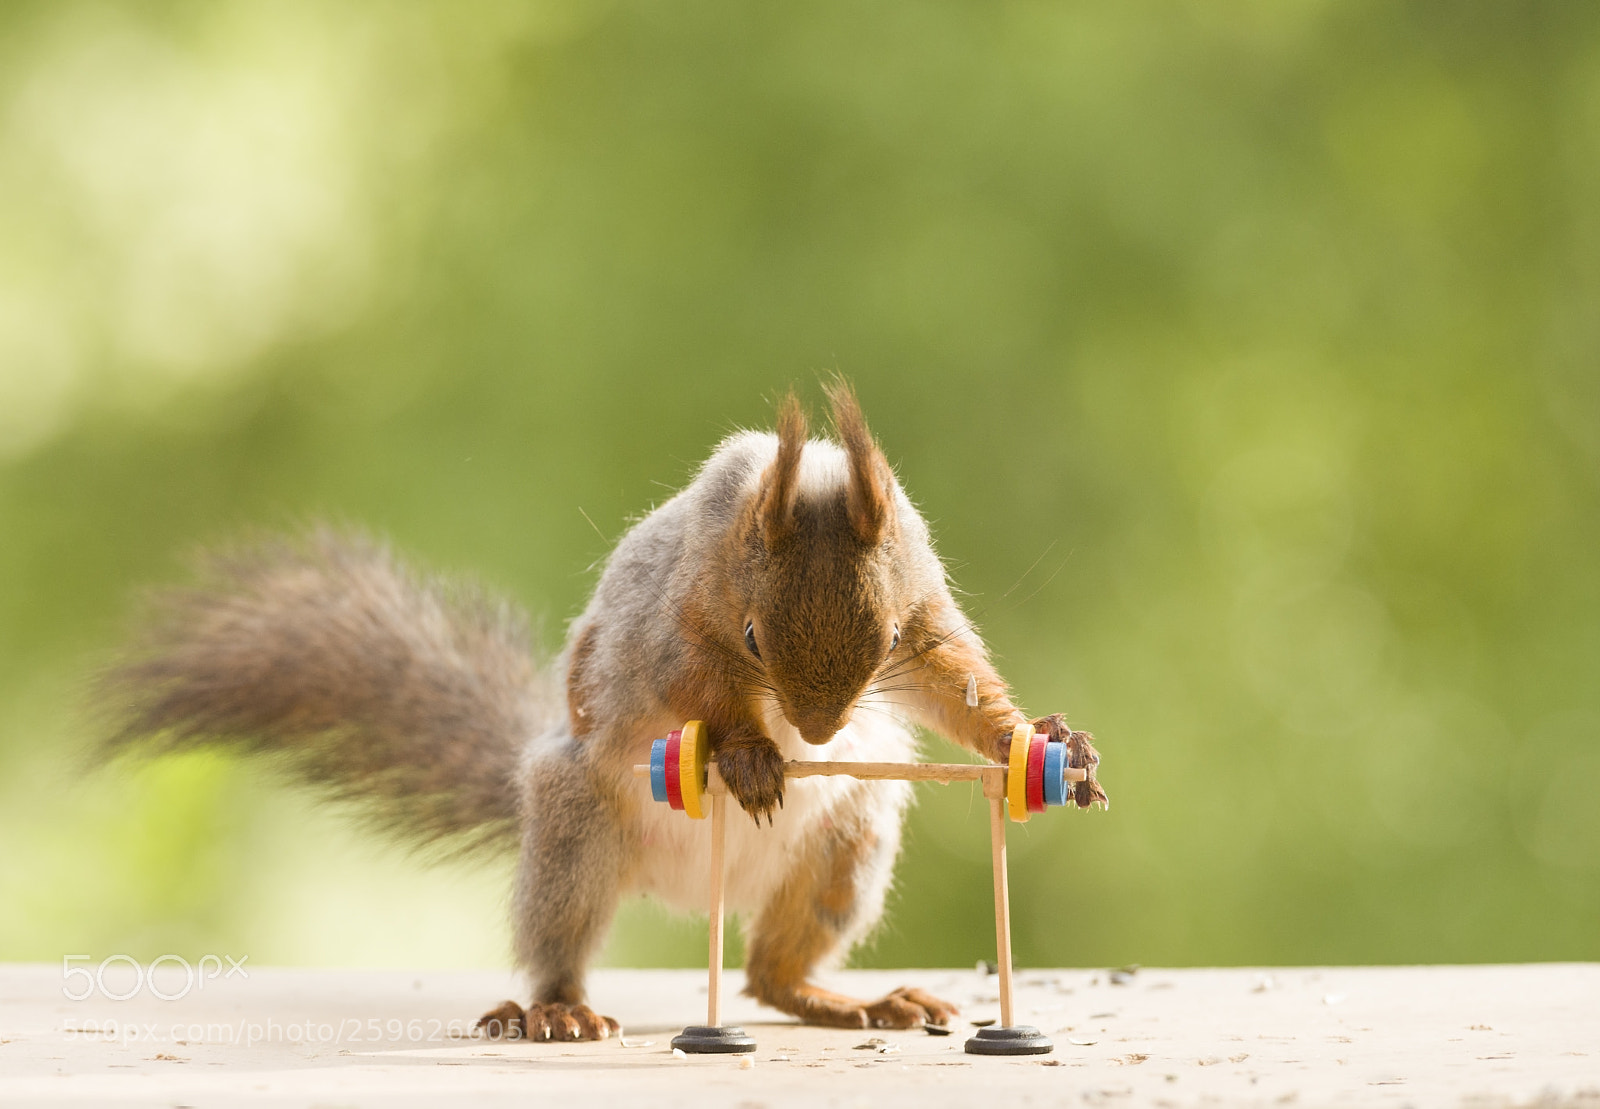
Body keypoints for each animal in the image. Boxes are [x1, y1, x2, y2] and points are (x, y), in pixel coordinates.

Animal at [100, 382, 1104, 1041]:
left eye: (886, 634)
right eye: (751, 632)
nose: (817, 735)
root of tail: (692, 887)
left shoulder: (924, 608)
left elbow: (955, 679)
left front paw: (1041, 743)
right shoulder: (671, 629)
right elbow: (697, 691)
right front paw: (749, 754)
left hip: (848, 839)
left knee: (768, 974)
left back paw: (851, 999)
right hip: (576, 831)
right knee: (564, 937)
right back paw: (555, 1008)